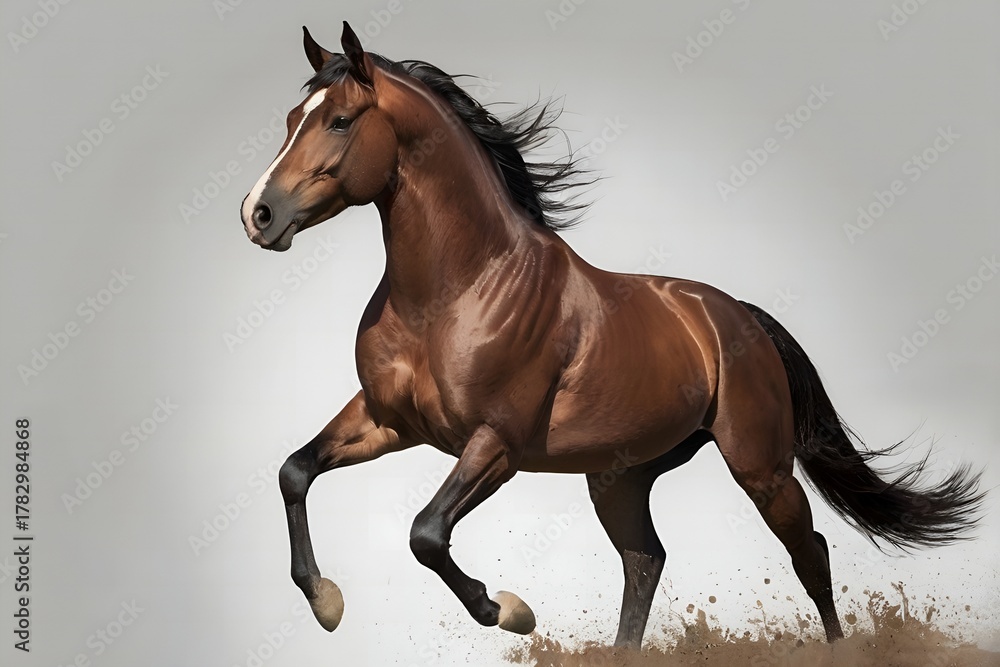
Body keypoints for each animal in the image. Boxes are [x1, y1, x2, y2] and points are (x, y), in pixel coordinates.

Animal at [239, 21, 984, 649]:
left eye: (339, 120)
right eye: (291, 120)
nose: (258, 213)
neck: (454, 291)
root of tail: (738, 314)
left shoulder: (495, 443)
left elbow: (426, 533)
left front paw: (510, 610)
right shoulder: (388, 420)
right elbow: (294, 471)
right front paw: (327, 602)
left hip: (759, 465)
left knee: (810, 552)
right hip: (619, 475)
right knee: (644, 559)